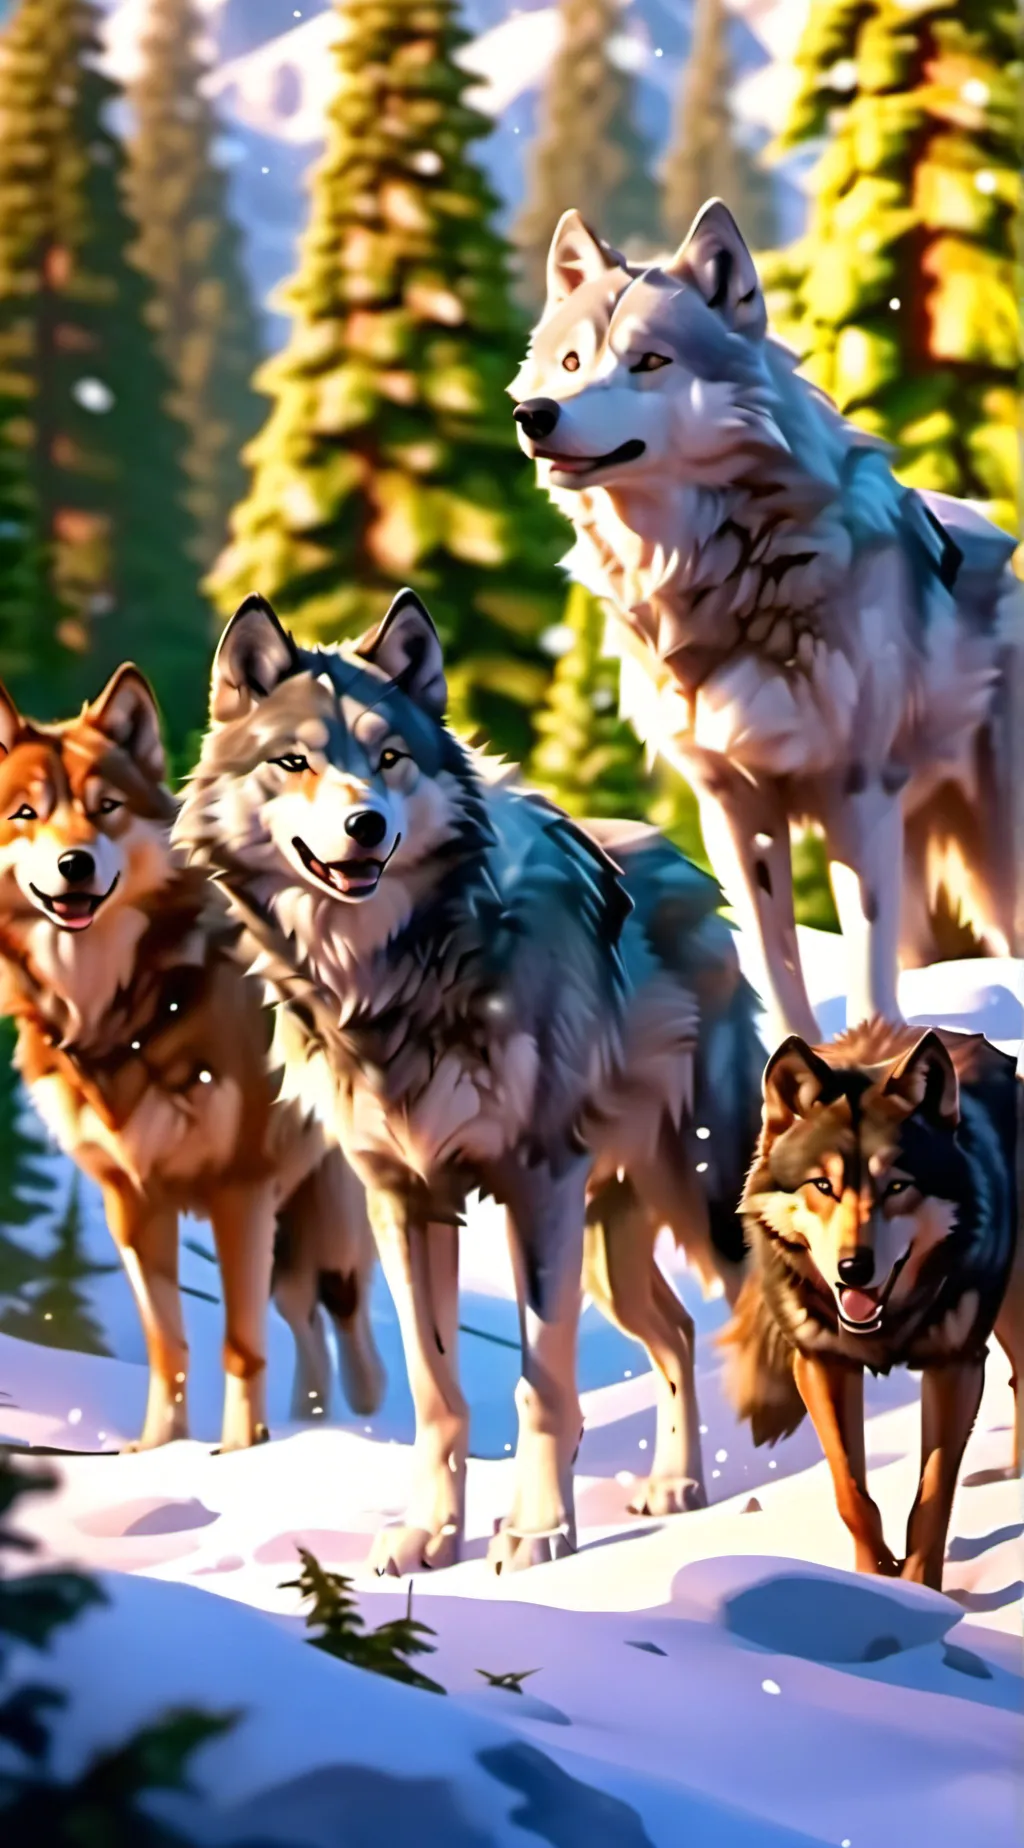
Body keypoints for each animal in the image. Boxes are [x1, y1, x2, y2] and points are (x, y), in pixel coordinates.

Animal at [0, 669, 383, 1450]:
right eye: (26, 813)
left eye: (106, 808)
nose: (74, 863)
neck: (125, 1013)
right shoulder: (130, 1200)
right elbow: (166, 1341)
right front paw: (159, 1450)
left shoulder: (242, 1187)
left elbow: (239, 1344)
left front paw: (237, 1454)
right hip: (289, 1243)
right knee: (306, 1324)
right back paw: (312, 1424)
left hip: (327, 1227)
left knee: (355, 1337)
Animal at [175, 587, 763, 1573]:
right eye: (294, 760)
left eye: (389, 757)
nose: (366, 825)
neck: (394, 980)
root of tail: (689, 867)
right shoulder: (404, 1202)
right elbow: (435, 1389)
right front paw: (429, 1536)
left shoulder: (538, 1185)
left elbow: (541, 1383)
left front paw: (537, 1530)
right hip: (610, 1247)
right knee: (679, 1332)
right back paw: (676, 1486)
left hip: (704, 1202)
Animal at [511, 198, 1022, 1044]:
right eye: (573, 361)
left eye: (650, 362)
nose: (535, 415)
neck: (720, 573)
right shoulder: (732, 806)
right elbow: (775, 962)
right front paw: (794, 1054)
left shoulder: (858, 793)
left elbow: (866, 959)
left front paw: (871, 1050)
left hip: (990, 850)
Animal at [722, 1020, 1022, 1589]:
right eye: (822, 1184)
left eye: (897, 1186)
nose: (853, 1268)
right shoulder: (822, 1364)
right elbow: (852, 1495)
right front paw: (875, 1581)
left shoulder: (955, 1364)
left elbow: (932, 1496)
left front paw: (924, 1592)